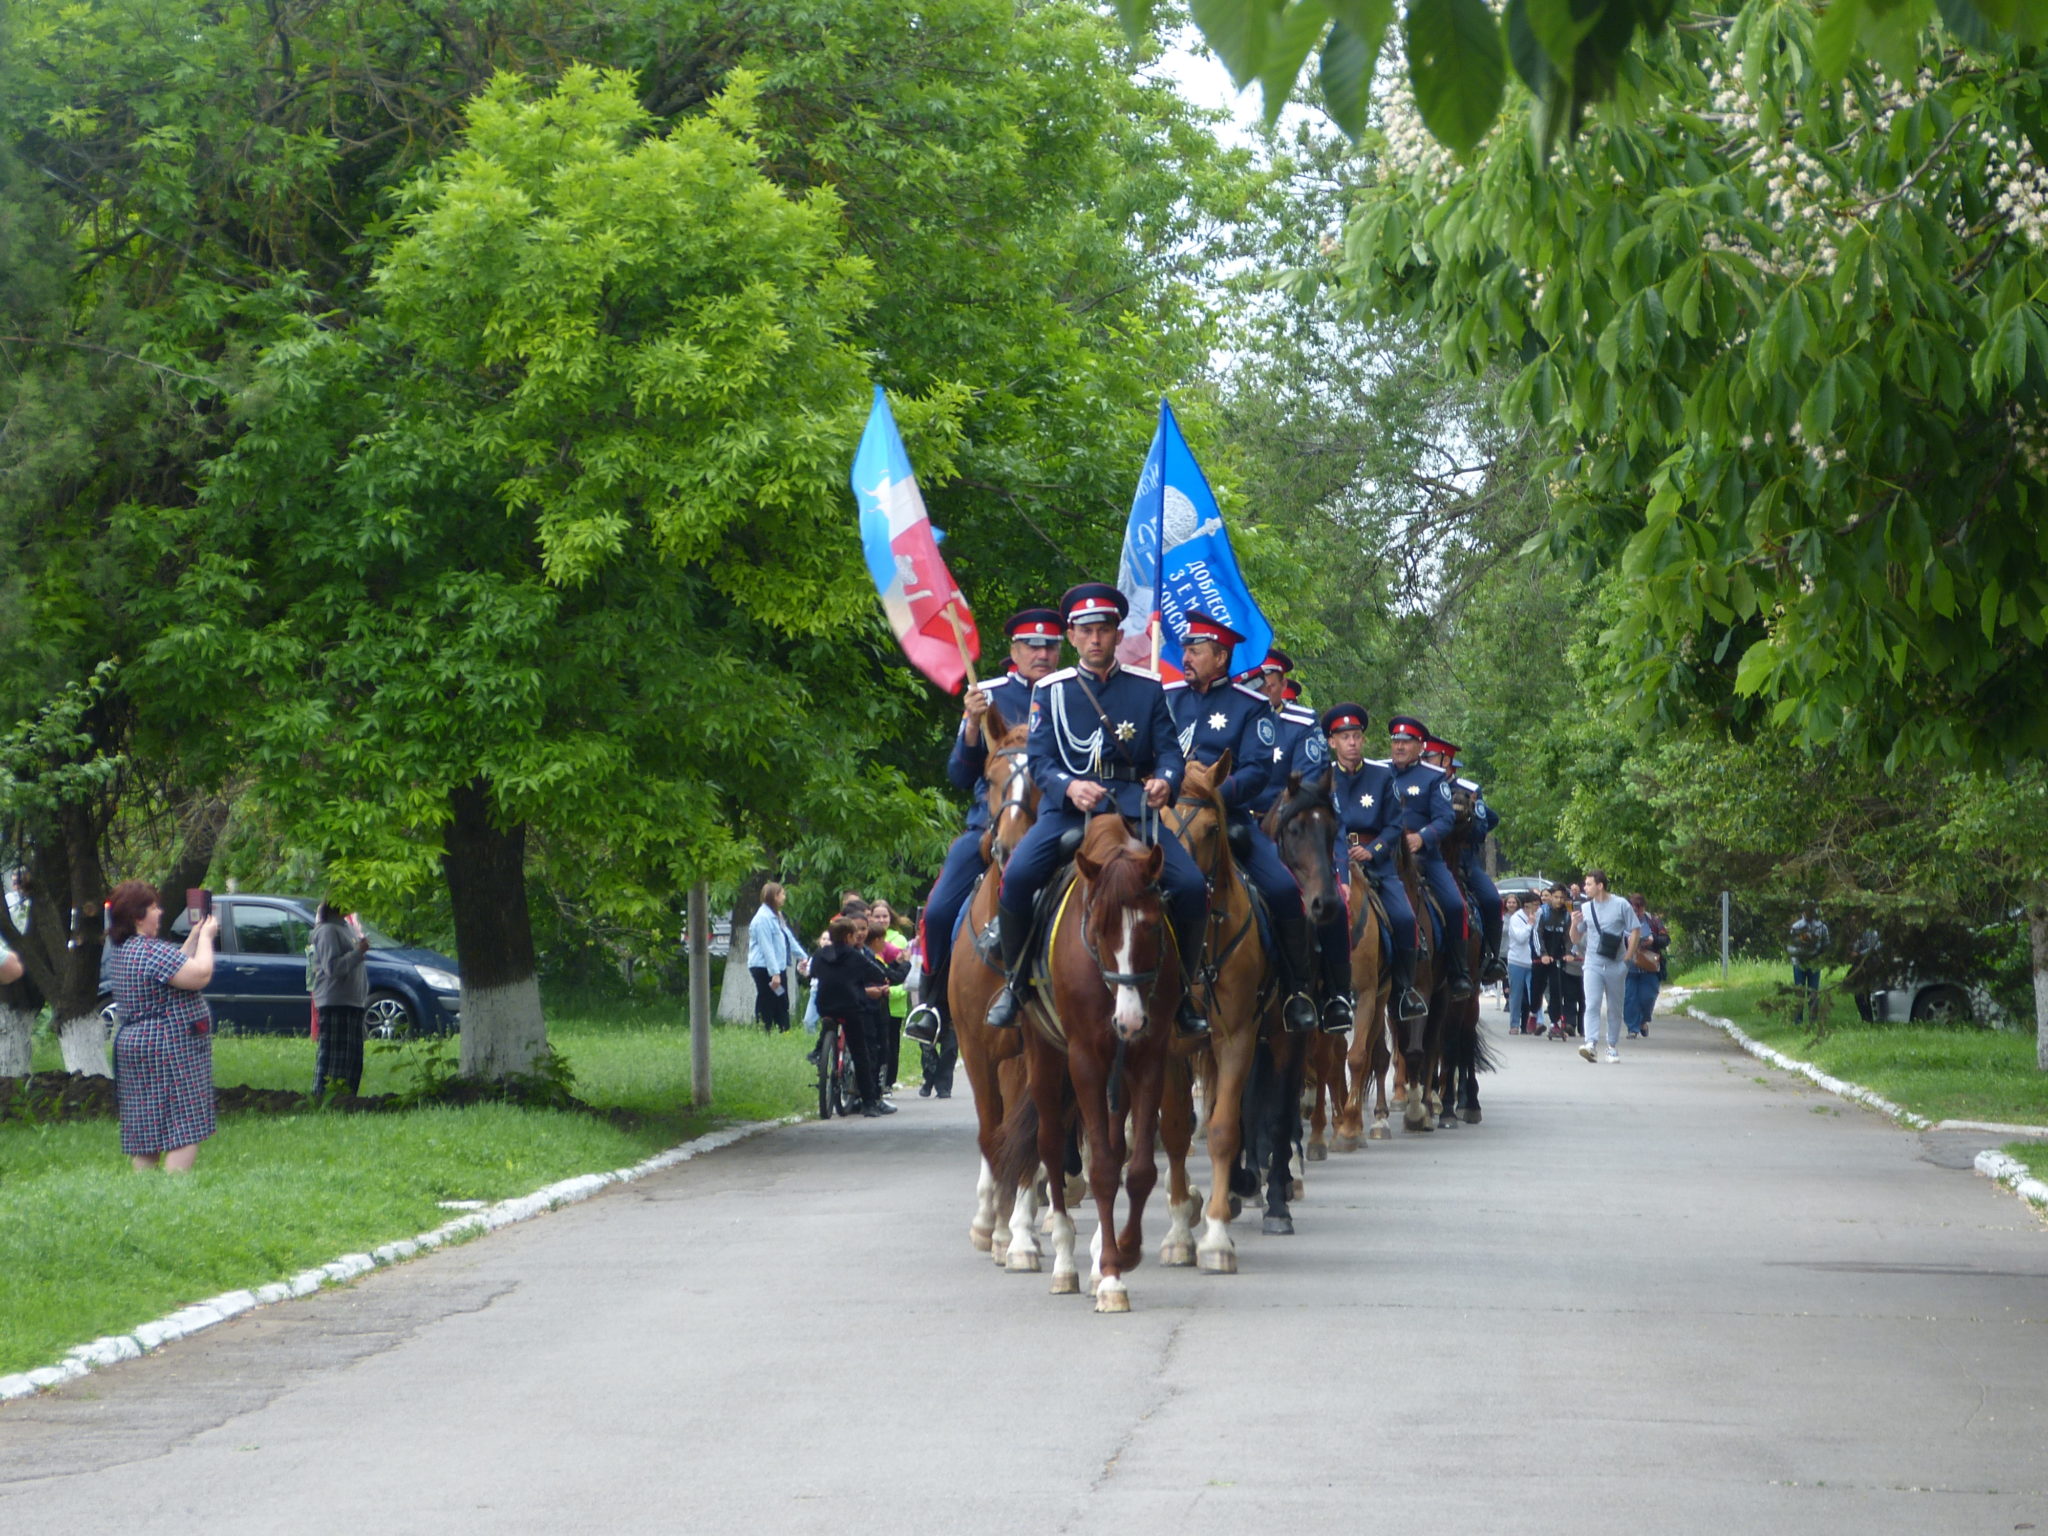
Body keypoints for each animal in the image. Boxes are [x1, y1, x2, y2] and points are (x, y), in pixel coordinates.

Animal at [995, 819, 1179, 1310]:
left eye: (1151, 926)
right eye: (1097, 929)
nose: (1129, 1020)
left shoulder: (1150, 1057)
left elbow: (1137, 1169)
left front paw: (1124, 1253)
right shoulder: (1085, 1061)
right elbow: (1099, 1170)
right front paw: (1112, 1276)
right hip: (1044, 1057)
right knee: (1050, 1144)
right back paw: (1064, 1263)